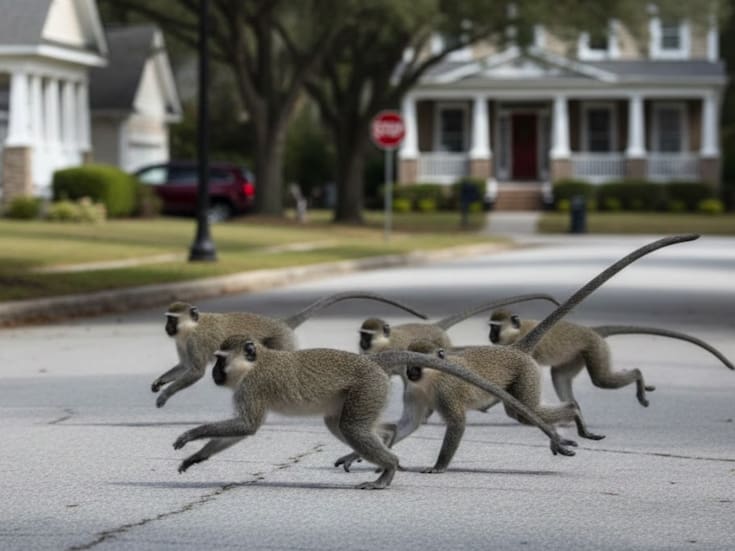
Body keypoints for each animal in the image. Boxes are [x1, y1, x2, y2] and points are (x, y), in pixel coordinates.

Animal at [151, 291, 428, 407]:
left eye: (171, 319)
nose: (166, 328)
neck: (191, 328)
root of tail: (282, 323)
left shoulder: (195, 341)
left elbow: (196, 371)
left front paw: (165, 395)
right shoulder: (182, 342)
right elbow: (185, 366)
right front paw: (158, 383)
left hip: (281, 343)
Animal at [171, 336, 578, 489]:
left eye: (220, 360)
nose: (214, 373)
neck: (254, 365)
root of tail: (374, 362)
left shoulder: (252, 387)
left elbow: (247, 425)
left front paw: (190, 436)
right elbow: (241, 430)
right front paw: (196, 457)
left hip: (368, 388)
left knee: (351, 426)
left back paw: (389, 468)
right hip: (365, 394)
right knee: (346, 424)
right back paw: (381, 446)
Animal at [334, 234, 701, 473]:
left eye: (416, 364)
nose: (409, 372)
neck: (430, 378)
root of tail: (517, 349)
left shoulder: (446, 391)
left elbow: (456, 424)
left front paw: (438, 466)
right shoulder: (415, 392)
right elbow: (407, 424)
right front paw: (356, 456)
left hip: (525, 375)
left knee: (527, 411)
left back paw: (573, 413)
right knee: (523, 412)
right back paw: (571, 419)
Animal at [487, 311, 734, 410]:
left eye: (495, 328)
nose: (490, 336)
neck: (517, 333)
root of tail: (592, 331)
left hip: (595, 349)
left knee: (601, 380)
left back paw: (638, 375)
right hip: (578, 355)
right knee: (560, 376)